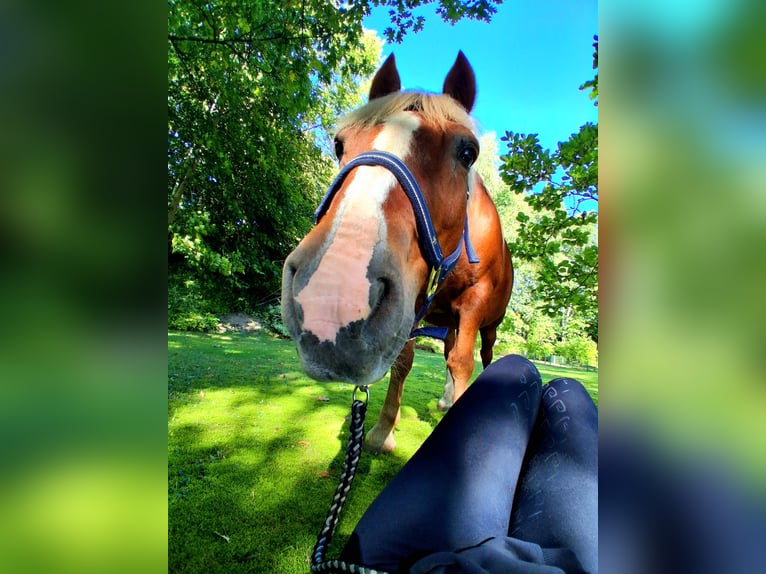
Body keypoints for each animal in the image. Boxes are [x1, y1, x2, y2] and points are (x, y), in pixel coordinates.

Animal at [281, 52, 513, 453]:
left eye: (468, 153)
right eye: (339, 144)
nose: (331, 301)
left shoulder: (472, 301)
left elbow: (463, 363)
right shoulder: (411, 301)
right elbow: (404, 359)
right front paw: (383, 430)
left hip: (489, 324)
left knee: (480, 356)